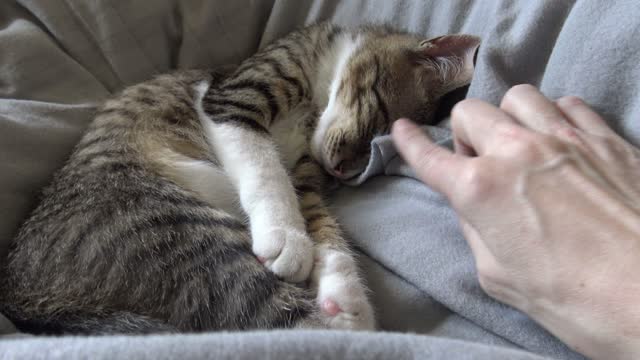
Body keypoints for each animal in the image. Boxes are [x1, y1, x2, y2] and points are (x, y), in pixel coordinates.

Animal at [0, 23, 480, 334]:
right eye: (378, 119)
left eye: (374, 156)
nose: (343, 170)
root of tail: (19, 294)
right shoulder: (231, 100)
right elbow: (265, 169)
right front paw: (287, 237)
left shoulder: (306, 172)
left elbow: (322, 225)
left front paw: (346, 296)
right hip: (174, 229)